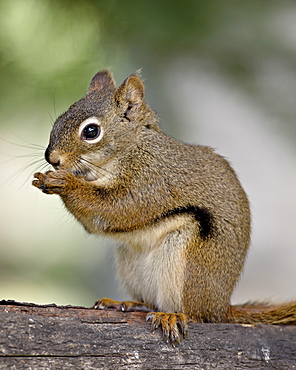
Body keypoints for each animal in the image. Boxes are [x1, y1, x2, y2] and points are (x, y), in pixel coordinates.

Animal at [32, 69, 296, 344]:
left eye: (91, 131)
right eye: (60, 118)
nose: (52, 158)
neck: (131, 149)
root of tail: (220, 307)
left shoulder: (151, 181)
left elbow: (114, 209)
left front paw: (63, 182)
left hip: (186, 262)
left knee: (196, 315)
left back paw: (173, 315)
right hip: (130, 263)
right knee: (151, 302)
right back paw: (126, 304)